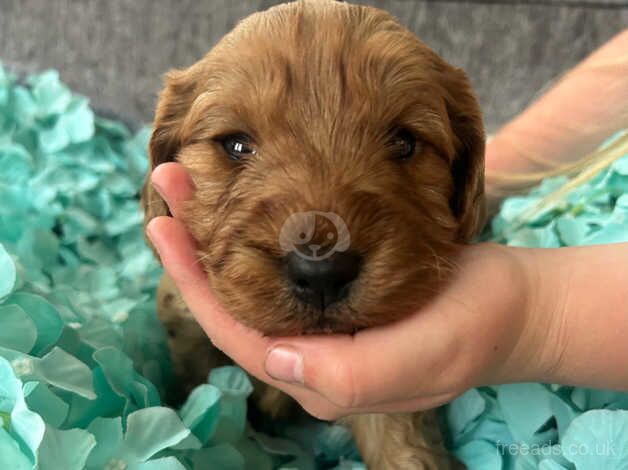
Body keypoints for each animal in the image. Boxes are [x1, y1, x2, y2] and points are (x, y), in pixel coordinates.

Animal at [142, 0, 486, 466]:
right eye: (236, 145)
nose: (323, 273)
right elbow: (201, 381)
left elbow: (400, 440)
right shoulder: (186, 325)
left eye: (404, 142)